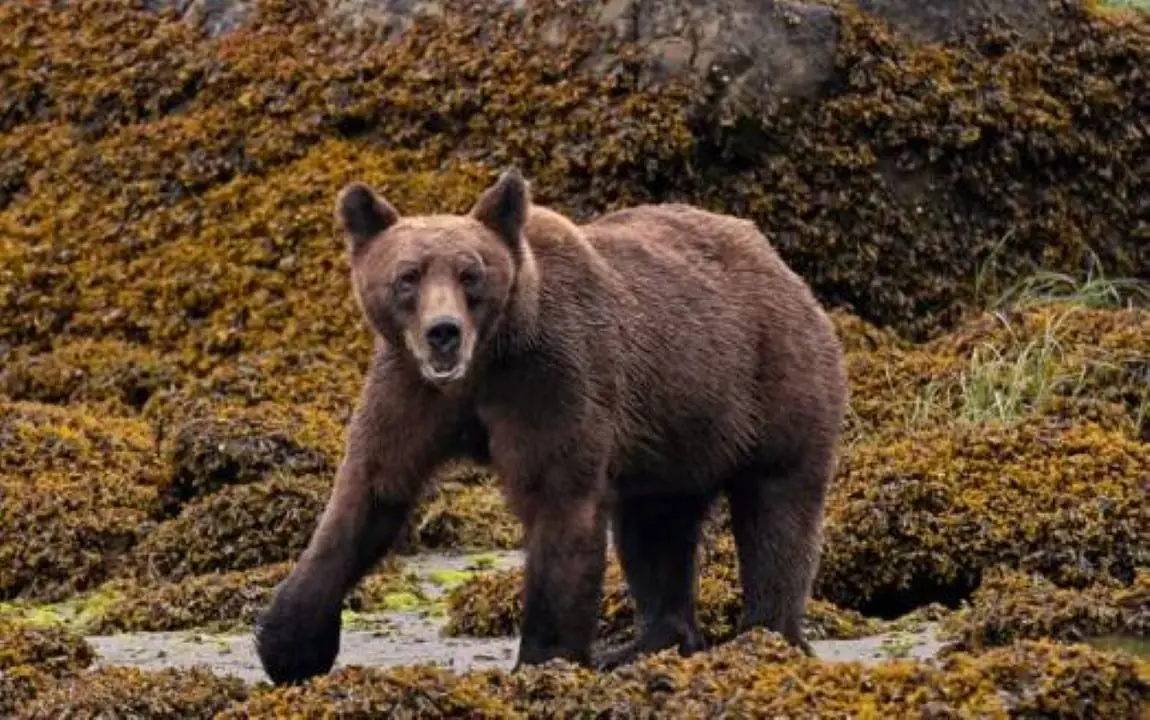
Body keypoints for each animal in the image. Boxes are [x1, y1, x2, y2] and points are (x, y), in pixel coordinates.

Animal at [253, 167, 847, 685]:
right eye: (407, 276)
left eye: (471, 274)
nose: (443, 331)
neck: (485, 364)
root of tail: (783, 268)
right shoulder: (410, 389)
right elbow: (369, 492)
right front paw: (289, 642)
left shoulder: (552, 379)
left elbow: (558, 504)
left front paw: (545, 659)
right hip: (672, 433)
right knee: (655, 525)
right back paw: (648, 642)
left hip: (770, 384)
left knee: (776, 512)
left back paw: (766, 637)